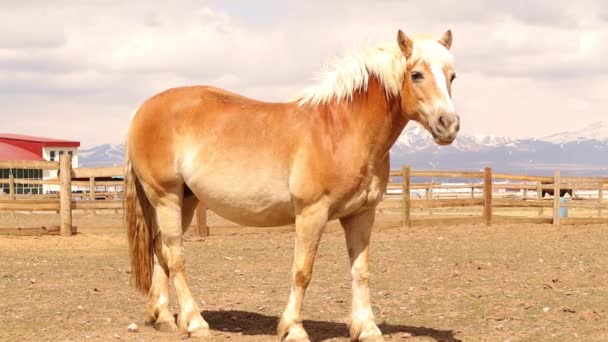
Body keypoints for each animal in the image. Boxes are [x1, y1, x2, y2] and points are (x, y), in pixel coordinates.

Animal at [124, 29, 460, 342]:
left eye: (452, 75)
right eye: (417, 74)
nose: (449, 125)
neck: (341, 130)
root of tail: (143, 110)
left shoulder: (362, 214)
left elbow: (361, 271)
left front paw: (366, 328)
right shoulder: (312, 213)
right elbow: (302, 272)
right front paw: (293, 328)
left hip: (186, 199)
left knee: (161, 249)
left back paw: (164, 317)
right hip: (166, 197)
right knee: (176, 256)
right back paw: (195, 322)